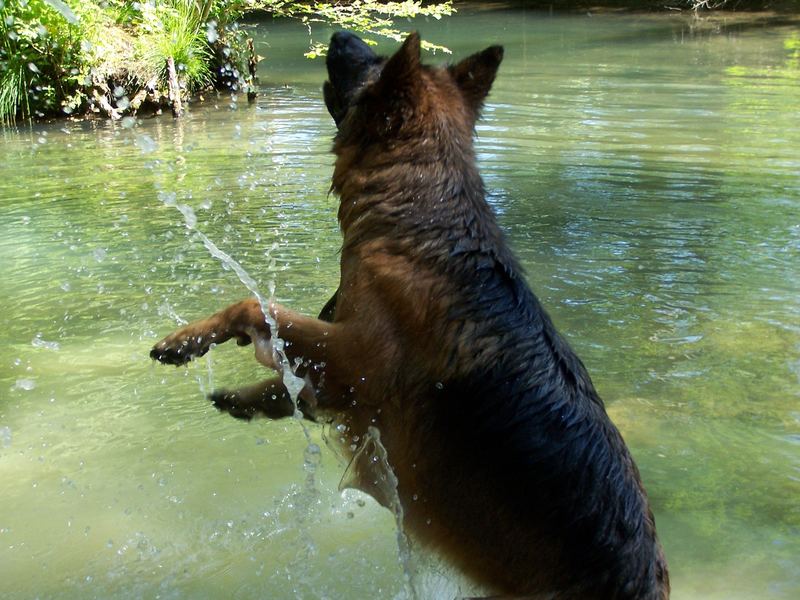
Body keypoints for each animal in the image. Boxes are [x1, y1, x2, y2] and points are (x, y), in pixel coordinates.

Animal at [150, 32, 668, 600]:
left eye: (375, 62)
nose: (341, 36)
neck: (420, 218)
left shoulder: (356, 358)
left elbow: (254, 307)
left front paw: (186, 341)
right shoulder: (346, 382)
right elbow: (297, 383)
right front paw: (249, 398)